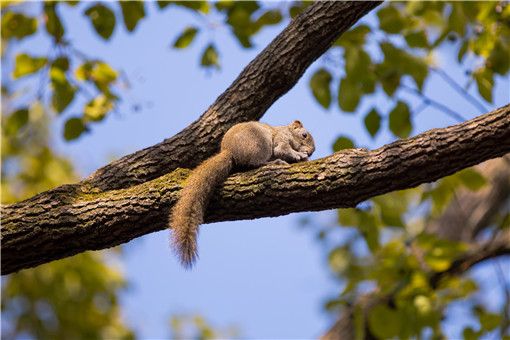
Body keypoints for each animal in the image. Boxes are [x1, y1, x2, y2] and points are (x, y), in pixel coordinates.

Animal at [171, 119, 314, 268]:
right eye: (304, 135)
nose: (310, 153)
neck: (287, 131)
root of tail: (230, 151)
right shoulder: (281, 138)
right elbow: (282, 150)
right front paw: (299, 155)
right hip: (261, 143)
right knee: (255, 163)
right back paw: (275, 162)